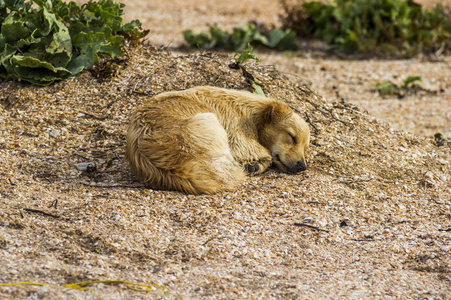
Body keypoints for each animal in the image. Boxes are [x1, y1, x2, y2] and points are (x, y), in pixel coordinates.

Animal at [127, 86, 310, 195]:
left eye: (305, 147)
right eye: (292, 137)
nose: (302, 165)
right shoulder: (235, 127)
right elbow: (256, 152)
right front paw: (255, 163)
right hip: (204, 124)